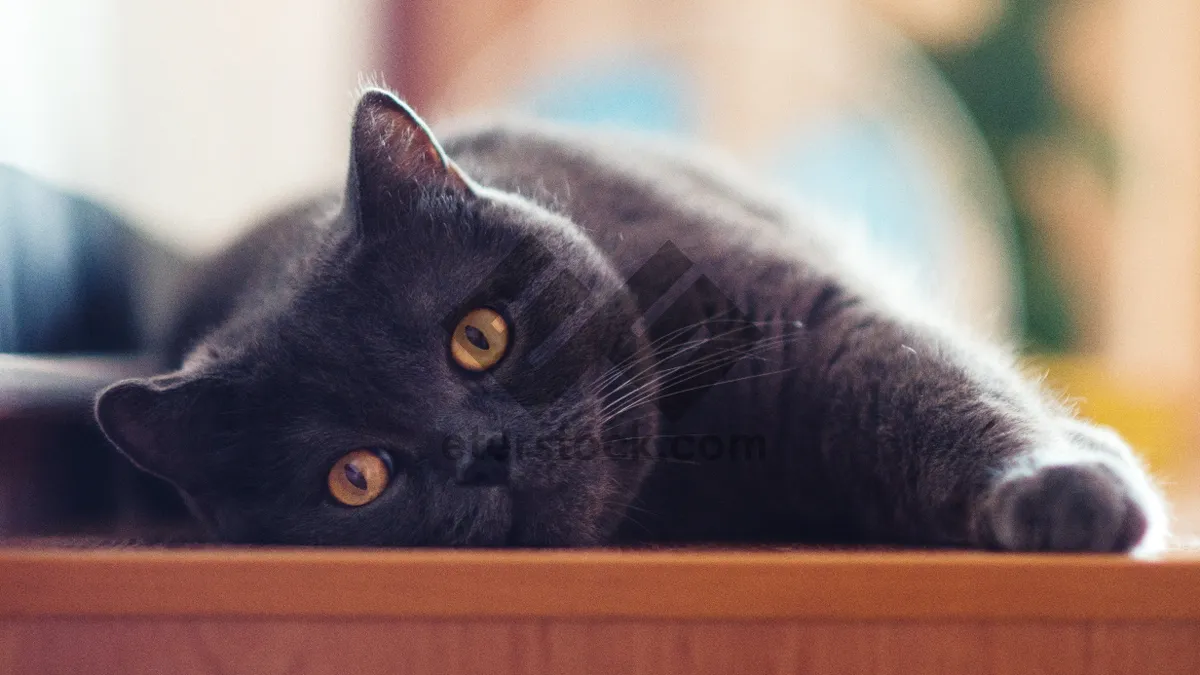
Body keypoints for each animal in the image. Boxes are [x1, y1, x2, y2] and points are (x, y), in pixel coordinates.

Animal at [96, 89, 1171, 550]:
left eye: (480, 335)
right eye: (356, 476)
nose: (484, 450)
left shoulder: (816, 316)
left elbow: (937, 391)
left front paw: (1061, 493)